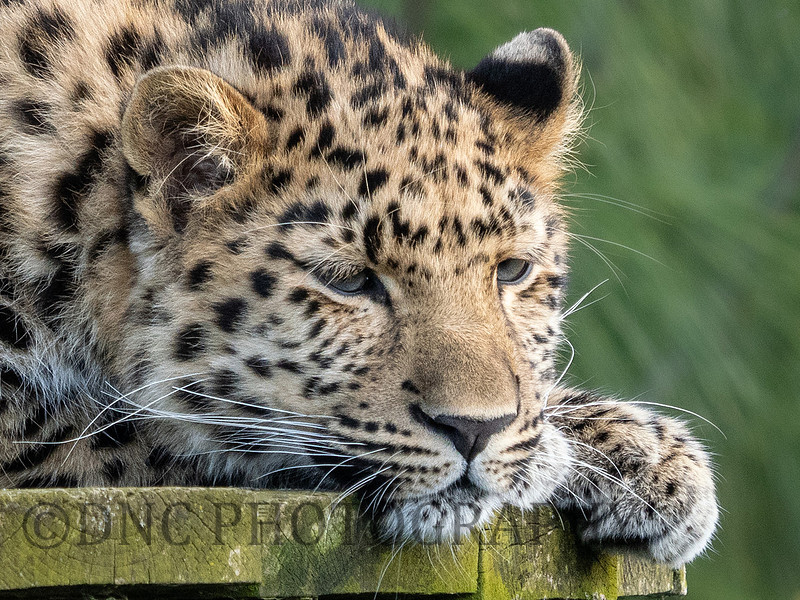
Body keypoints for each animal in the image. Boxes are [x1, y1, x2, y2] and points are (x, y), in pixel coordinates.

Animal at [0, 0, 717, 566]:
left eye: (512, 270)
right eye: (349, 282)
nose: (474, 431)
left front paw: (641, 456)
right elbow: (159, 433)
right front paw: (564, 455)